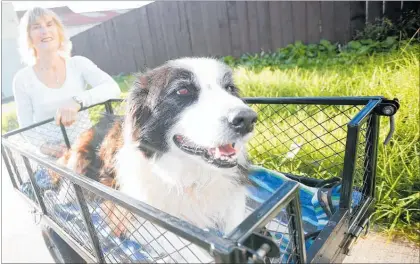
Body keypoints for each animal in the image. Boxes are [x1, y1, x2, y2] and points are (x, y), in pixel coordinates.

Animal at [51, 56, 258, 260]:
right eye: (182, 90)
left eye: (229, 88)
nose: (247, 119)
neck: (191, 175)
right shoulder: (124, 215)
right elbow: (193, 251)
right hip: (78, 158)